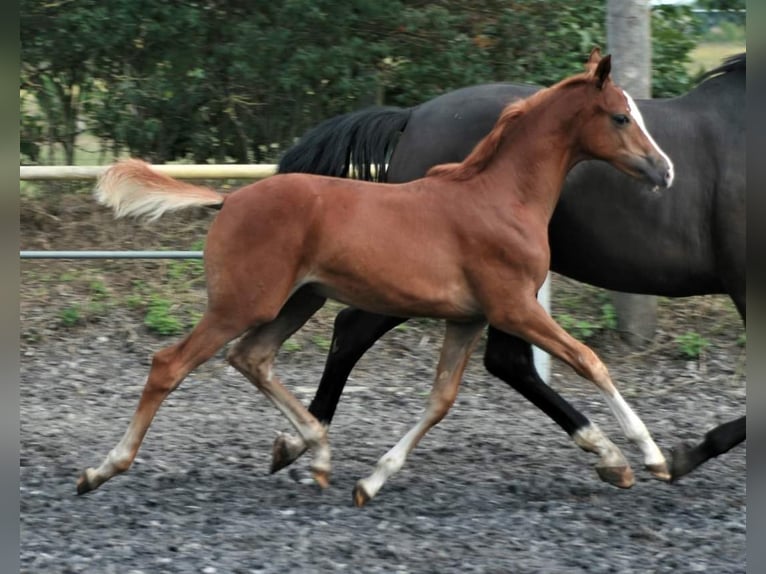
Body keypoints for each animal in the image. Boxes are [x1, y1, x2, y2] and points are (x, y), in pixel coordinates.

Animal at [81, 50, 676, 508]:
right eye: (621, 117)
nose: (665, 170)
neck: (500, 197)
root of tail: (229, 200)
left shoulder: (468, 318)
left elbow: (441, 400)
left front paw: (371, 481)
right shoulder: (513, 307)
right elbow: (589, 361)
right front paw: (649, 456)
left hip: (297, 302)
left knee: (252, 358)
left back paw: (317, 452)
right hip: (242, 304)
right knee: (170, 364)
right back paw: (100, 469)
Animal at [274, 55, 744, 486]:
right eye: (621, 117)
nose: (665, 171)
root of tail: (413, 115)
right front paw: (676, 455)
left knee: (500, 360)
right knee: (361, 331)